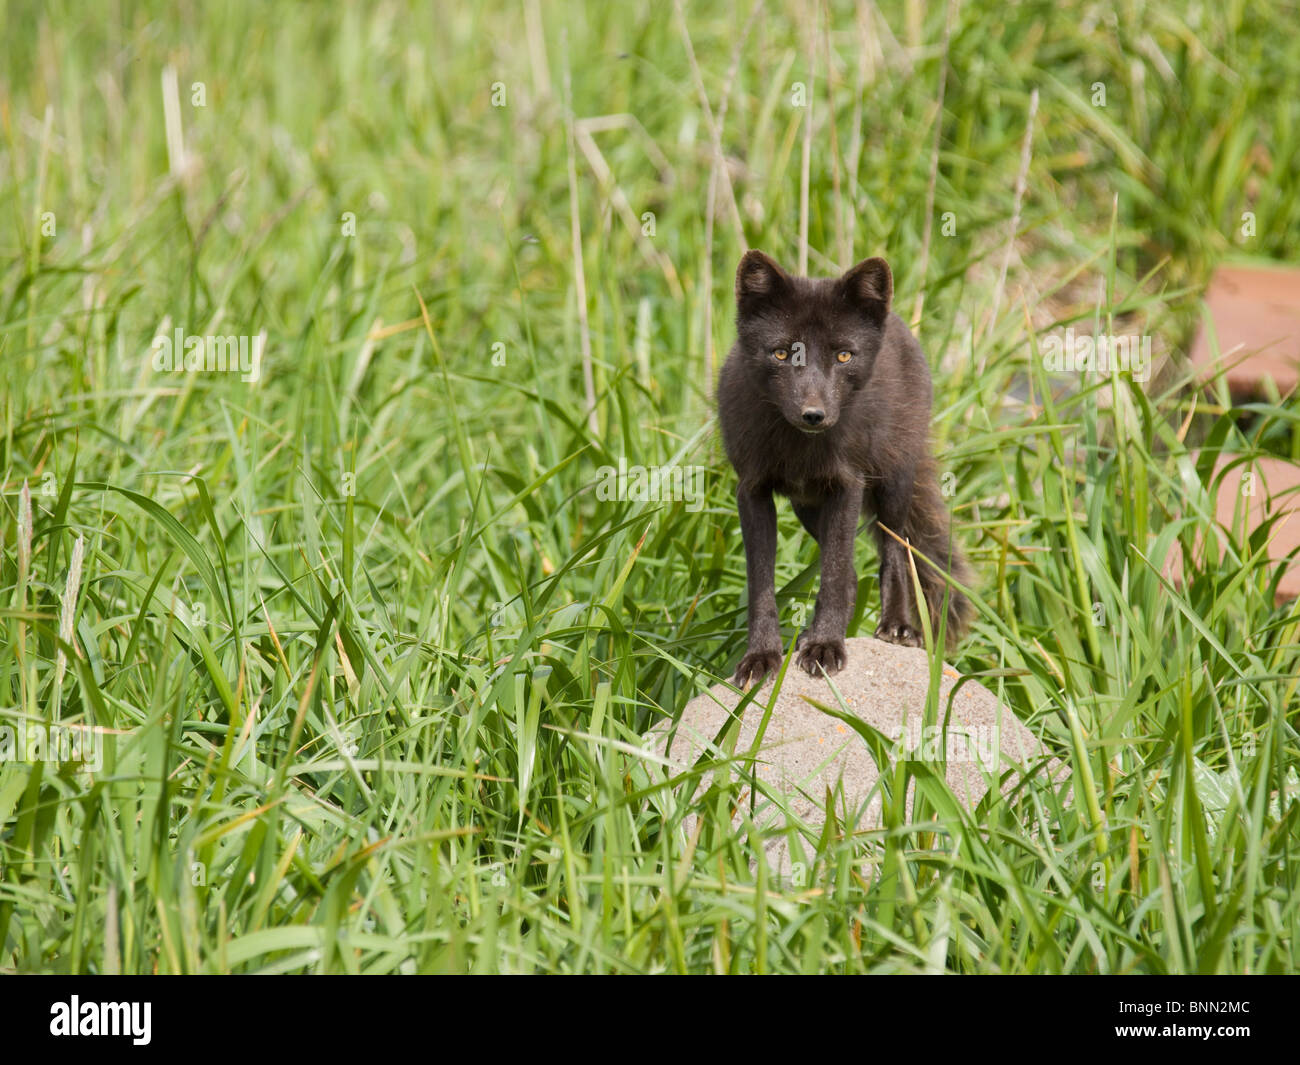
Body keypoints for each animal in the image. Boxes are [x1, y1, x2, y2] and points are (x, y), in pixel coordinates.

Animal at [717, 248, 972, 681]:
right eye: (781, 353)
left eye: (843, 355)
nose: (813, 415)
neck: (799, 448)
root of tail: (897, 324)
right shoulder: (752, 492)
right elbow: (762, 585)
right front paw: (762, 655)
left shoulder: (847, 485)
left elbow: (835, 575)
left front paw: (825, 647)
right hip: (807, 507)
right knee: (854, 572)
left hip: (892, 485)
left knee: (896, 550)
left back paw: (897, 626)